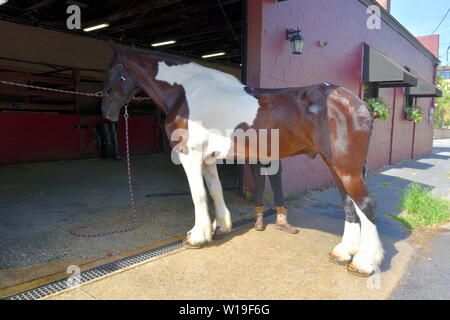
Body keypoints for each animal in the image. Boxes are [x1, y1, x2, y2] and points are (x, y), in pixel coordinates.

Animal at [101, 46, 384, 276]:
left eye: (112, 70)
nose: (106, 110)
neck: (185, 93)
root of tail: (361, 105)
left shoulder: (189, 154)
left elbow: (198, 195)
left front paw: (196, 237)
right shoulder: (207, 159)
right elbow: (214, 191)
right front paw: (221, 227)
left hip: (346, 169)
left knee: (366, 205)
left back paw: (364, 263)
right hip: (336, 167)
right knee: (349, 205)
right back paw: (343, 252)